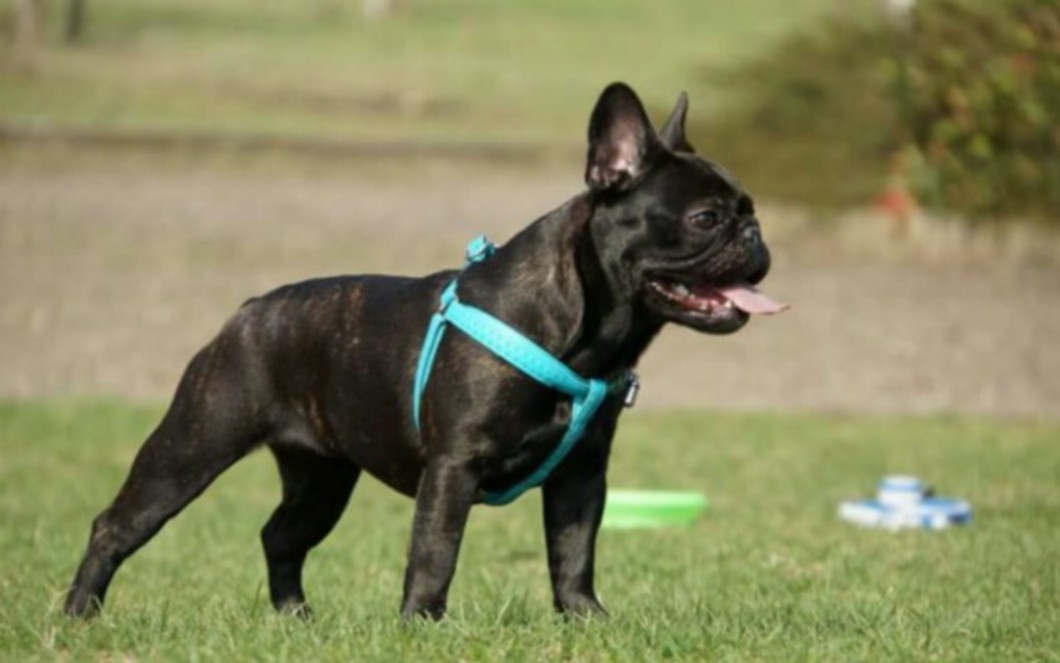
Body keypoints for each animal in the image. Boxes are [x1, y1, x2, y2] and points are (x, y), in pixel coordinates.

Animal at [64, 82, 785, 620]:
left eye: (748, 209)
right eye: (706, 218)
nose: (754, 232)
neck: (583, 329)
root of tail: (248, 310)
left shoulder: (582, 475)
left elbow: (573, 551)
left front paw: (586, 621)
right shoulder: (453, 467)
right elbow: (436, 550)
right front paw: (422, 624)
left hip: (323, 477)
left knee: (282, 535)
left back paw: (296, 618)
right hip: (193, 445)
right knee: (116, 524)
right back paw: (80, 614)